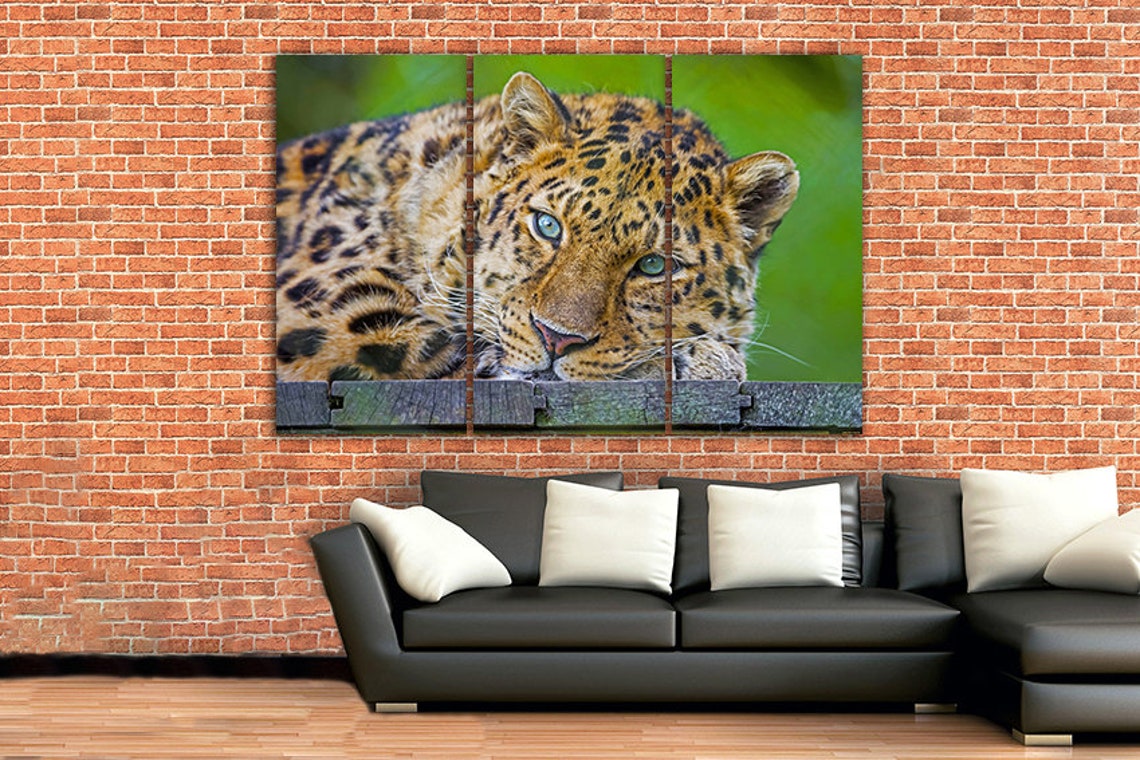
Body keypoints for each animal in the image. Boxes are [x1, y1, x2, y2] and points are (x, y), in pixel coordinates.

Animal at [275, 71, 799, 384]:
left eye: (654, 265)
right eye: (548, 226)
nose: (557, 338)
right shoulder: (323, 314)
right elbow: (442, 353)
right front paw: (695, 362)